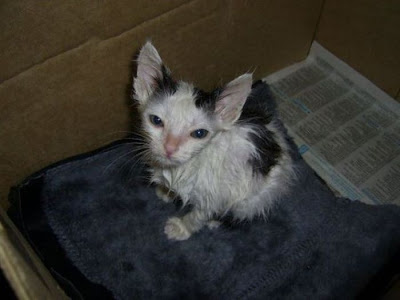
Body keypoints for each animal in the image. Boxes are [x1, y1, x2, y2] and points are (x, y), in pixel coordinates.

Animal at [133, 41, 296, 241]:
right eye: (156, 121)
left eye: (199, 133)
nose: (169, 148)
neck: (184, 167)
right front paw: (166, 191)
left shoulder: (216, 194)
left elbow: (199, 214)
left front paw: (182, 228)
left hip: (257, 196)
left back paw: (217, 221)